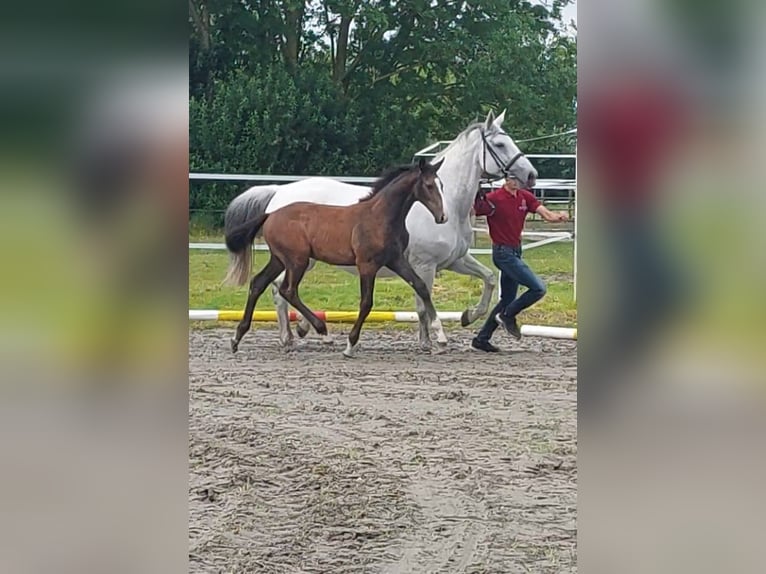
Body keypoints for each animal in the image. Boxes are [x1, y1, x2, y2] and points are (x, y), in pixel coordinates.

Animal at [225, 156, 448, 356]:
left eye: (442, 185)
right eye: (429, 185)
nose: (443, 217)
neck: (380, 217)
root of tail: (270, 214)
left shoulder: (396, 260)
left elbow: (421, 287)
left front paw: (441, 337)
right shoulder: (367, 265)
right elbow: (366, 303)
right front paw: (350, 345)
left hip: (279, 259)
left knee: (258, 283)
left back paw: (237, 338)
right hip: (297, 261)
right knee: (288, 290)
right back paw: (322, 332)